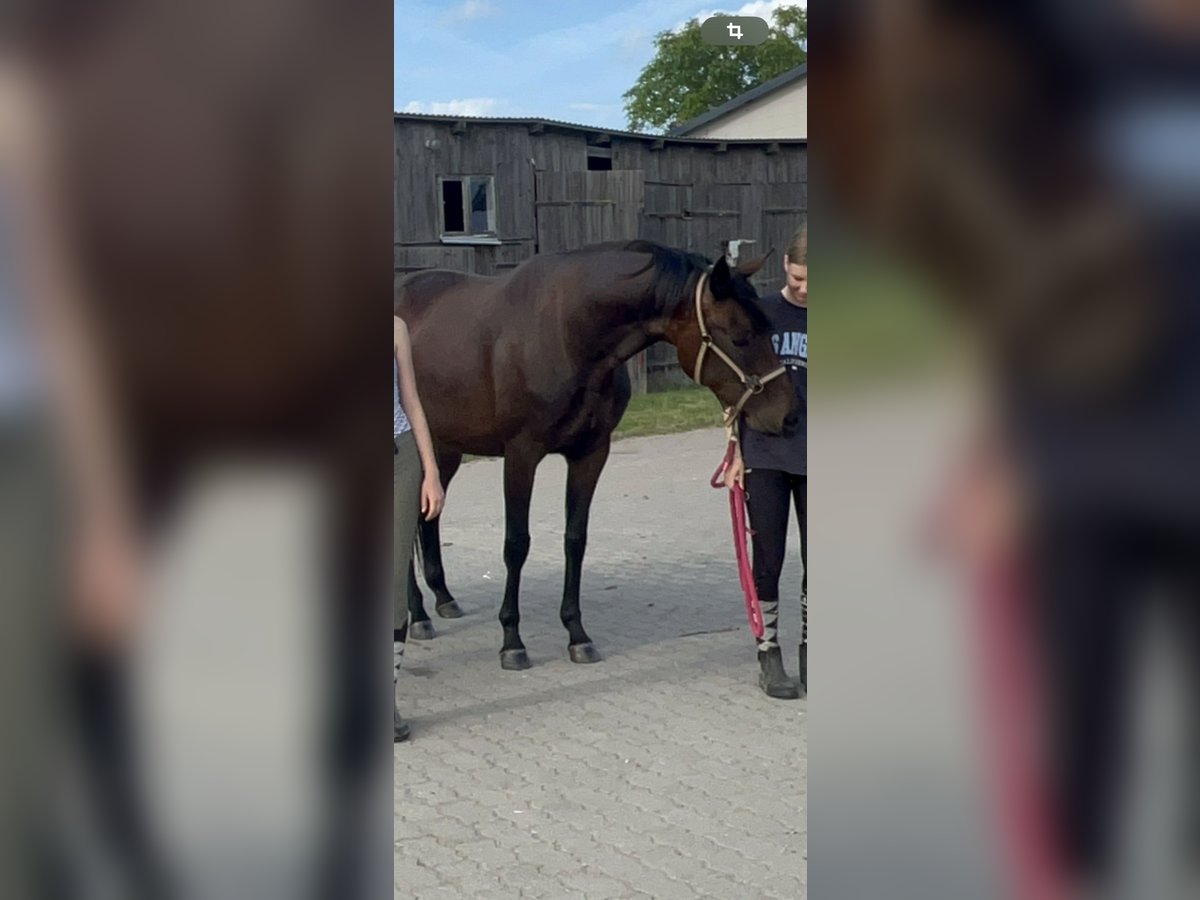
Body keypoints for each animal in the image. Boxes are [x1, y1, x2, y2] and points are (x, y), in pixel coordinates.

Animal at [393, 240, 798, 670]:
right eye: (740, 337)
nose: (787, 415)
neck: (568, 333)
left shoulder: (591, 453)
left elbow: (576, 538)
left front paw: (577, 634)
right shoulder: (521, 454)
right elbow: (516, 544)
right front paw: (512, 641)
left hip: (443, 449)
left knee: (425, 518)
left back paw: (440, 600)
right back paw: (417, 615)